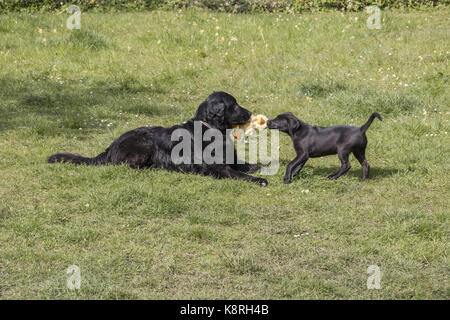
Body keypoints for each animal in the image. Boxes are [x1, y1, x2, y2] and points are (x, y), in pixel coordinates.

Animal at [48, 91, 268, 186]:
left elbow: (248, 165)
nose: (250, 113)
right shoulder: (218, 168)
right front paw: (259, 180)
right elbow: (239, 174)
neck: (211, 129)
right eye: (234, 104)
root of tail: (110, 146)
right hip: (144, 144)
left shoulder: (231, 160)